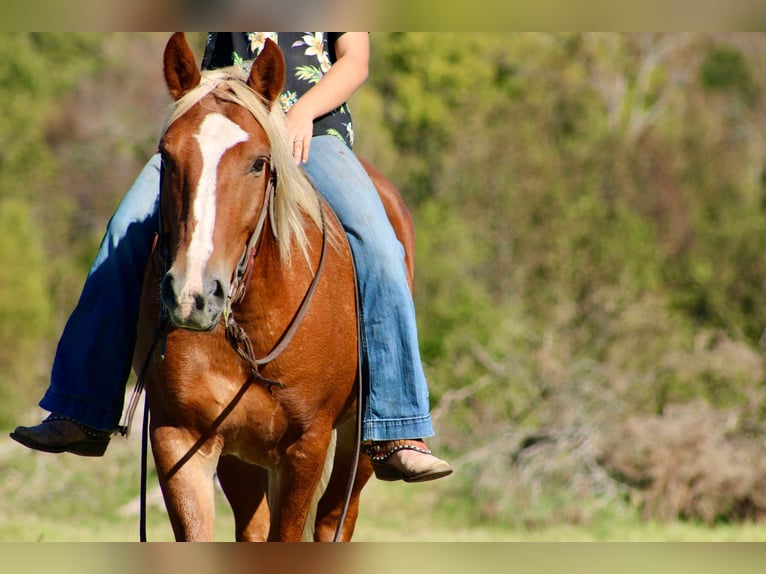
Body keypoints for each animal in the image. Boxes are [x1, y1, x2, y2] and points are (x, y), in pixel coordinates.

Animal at [135, 32, 416, 544]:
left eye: (258, 163)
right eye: (167, 156)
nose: (193, 295)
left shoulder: (306, 447)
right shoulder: (179, 438)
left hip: (360, 442)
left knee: (333, 520)